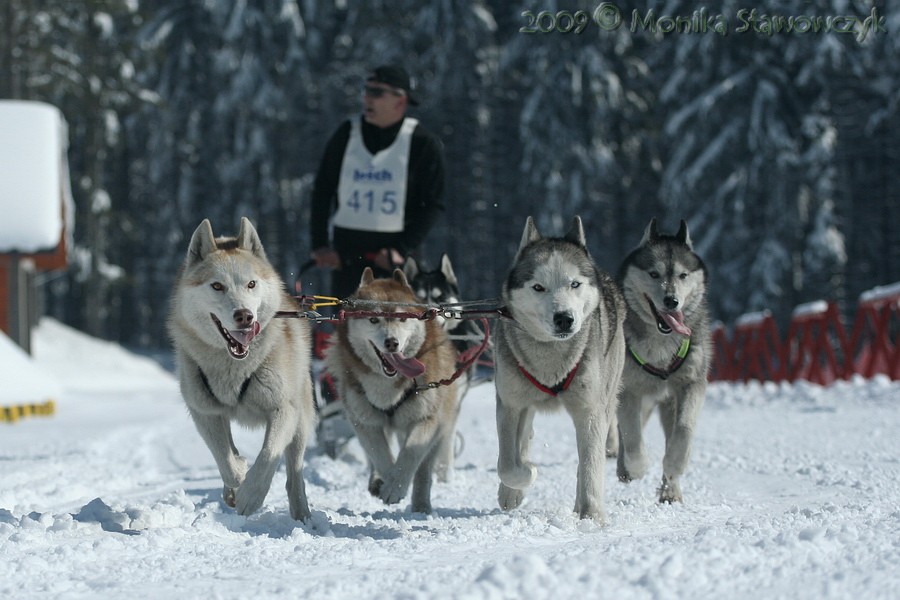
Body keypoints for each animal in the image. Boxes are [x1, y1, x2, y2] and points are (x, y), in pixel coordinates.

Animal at [324, 270, 458, 512]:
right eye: (373, 319)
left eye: (403, 318)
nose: (392, 343)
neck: (387, 387)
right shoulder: (364, 421)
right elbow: (380, 455)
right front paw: (388, 481)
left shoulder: (427, 418)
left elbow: (411, 453)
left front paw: (396, 486)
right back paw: (377, 480)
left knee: (423, 467)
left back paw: (421, 504)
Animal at [492, 216, 624, 520]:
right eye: (538, 287)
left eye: (574, 284)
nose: (564, 318)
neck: (550, 357)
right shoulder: (510, 403)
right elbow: (507, 464)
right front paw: (525, 476)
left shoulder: (590, 410)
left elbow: (590, 464)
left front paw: (592, 516)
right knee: (522, 440)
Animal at [620, 218, 712, 504]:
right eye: (653, 274)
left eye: (683, 275)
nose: (672, 301)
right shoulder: (629, 390)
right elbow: (632, 436)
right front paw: (637, 467)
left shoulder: (691, 384)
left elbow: (683, 431)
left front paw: (673, 467)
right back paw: (623, 467)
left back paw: (671, 491)